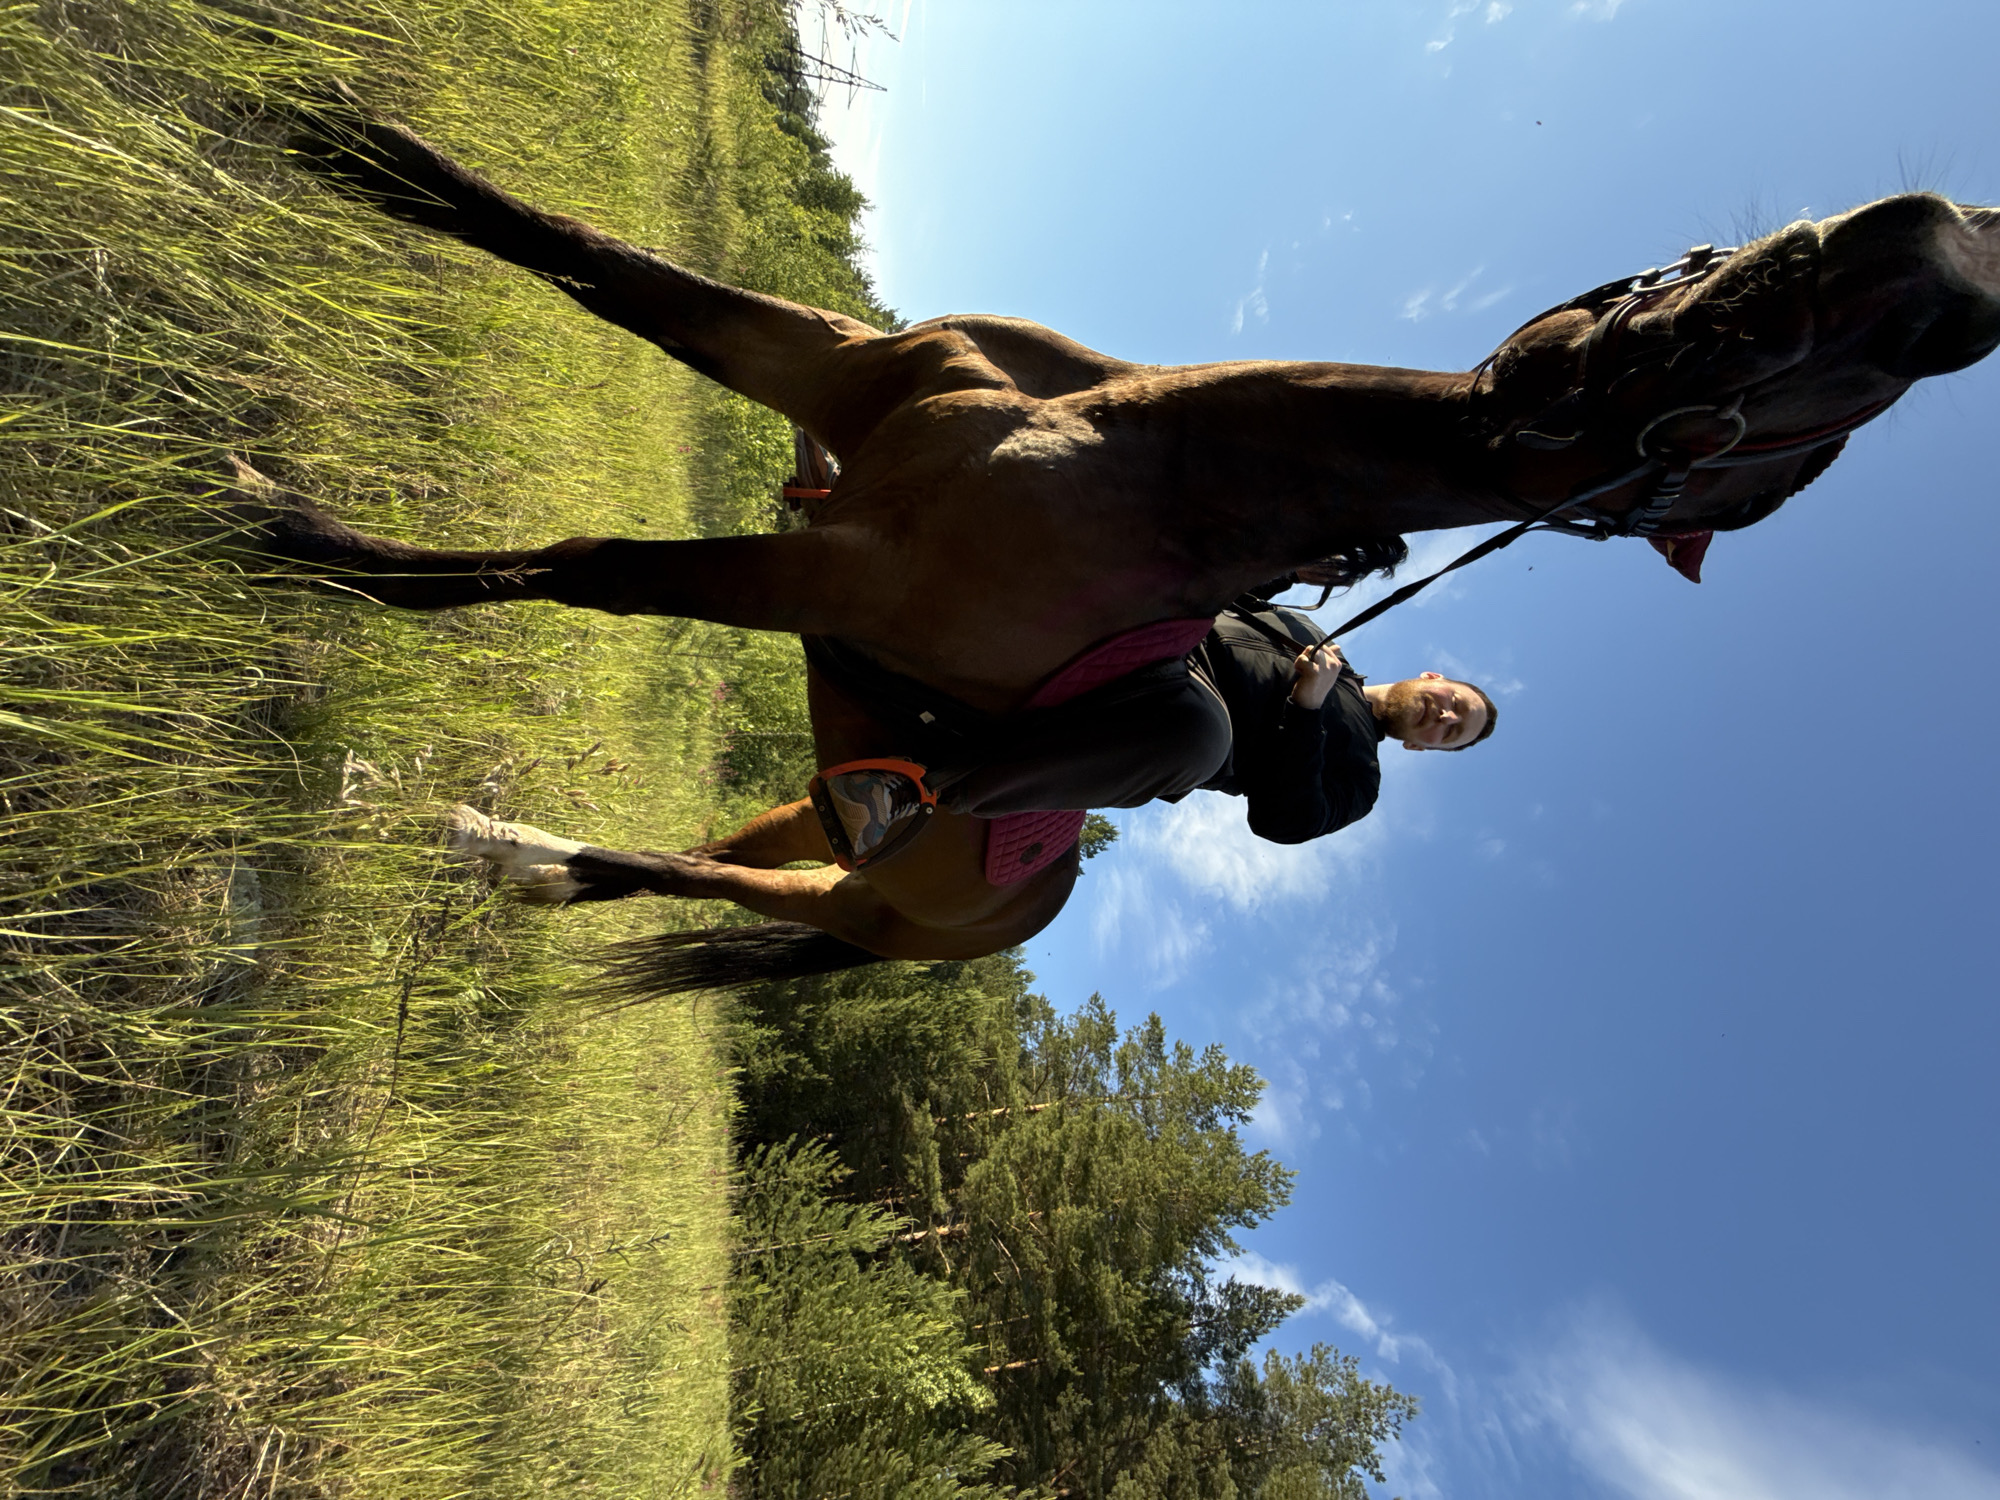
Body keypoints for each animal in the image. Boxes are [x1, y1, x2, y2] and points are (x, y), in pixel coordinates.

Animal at [253, 97, 2000, 990]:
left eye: (1778, 468)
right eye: (1833, 416)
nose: (1950, 260)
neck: (1130, 455)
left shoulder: (834, 568)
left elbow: (593, 565)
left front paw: (301, 545)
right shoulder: (832, 368)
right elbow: (593, 265)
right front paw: (336, 139)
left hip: (866, 898)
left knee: (718, 875)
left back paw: (499, 844)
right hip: (814, 803)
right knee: (720, 850)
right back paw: (516, 853)